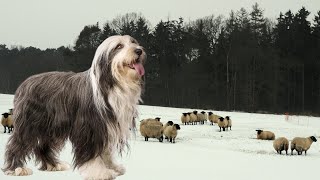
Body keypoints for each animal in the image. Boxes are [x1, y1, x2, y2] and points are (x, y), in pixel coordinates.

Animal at [1, 34, 146, 179]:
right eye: (119, 46)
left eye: (133, 42)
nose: (139, 51)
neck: (111, 83)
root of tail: (24, 83)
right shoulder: (90, 126)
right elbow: (92, 152)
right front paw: (99, 171)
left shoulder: (107, 126)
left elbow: (105, 151)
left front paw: (111, 167)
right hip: (30, 122)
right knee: (17, 143)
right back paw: (17, 168)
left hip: (52, 125)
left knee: (43, 146)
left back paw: (54, 165)